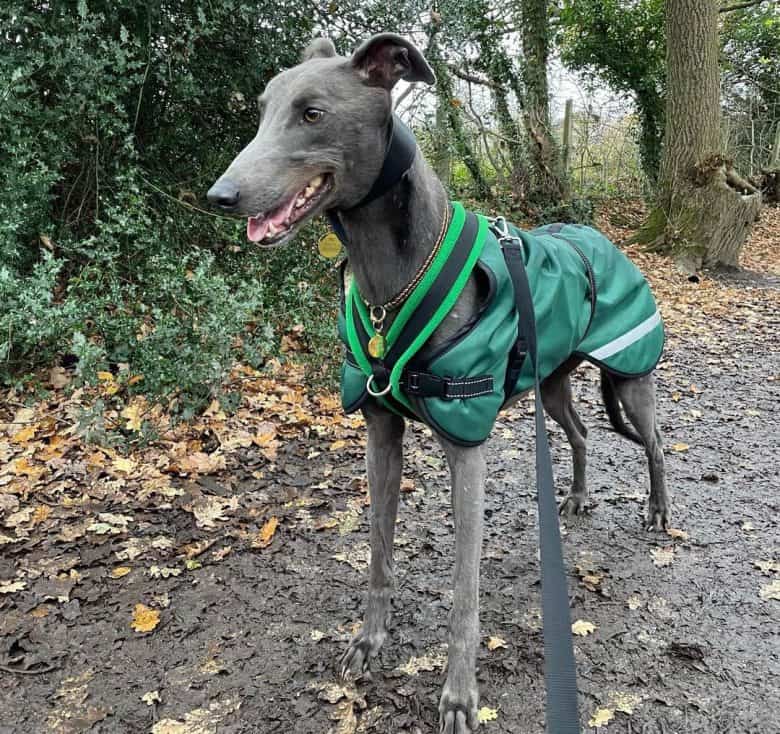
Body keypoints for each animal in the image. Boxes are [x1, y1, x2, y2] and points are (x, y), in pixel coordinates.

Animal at [209, 34, 672, 734]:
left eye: (312, 113)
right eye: (262, 110)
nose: (222, 195)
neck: (390, 284)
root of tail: (599, 236)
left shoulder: (467, 448)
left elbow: (463, 591)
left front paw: (458, 695)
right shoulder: (380, 431)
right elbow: (378, 552)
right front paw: (369, 641)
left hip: (631, 375)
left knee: (654, 444)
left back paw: (659, 510)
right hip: (553, 385)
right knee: (582, 433)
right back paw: (575, 499)